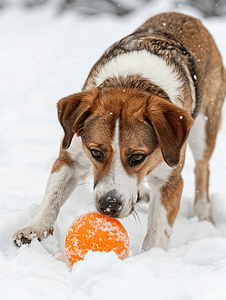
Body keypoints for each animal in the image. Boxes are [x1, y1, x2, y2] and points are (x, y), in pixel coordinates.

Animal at [12, 11, 226, 251]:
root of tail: (183, 14)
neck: (131, 81)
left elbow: (157, 229)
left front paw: (150, 256)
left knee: (202, 168)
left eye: (137, 157)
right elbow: (53, 196)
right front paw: (35, 228)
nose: (109, 204)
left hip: (205, 127)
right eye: (96, 152)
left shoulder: (169, 178)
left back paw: (202, 213)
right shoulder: (72, 154)